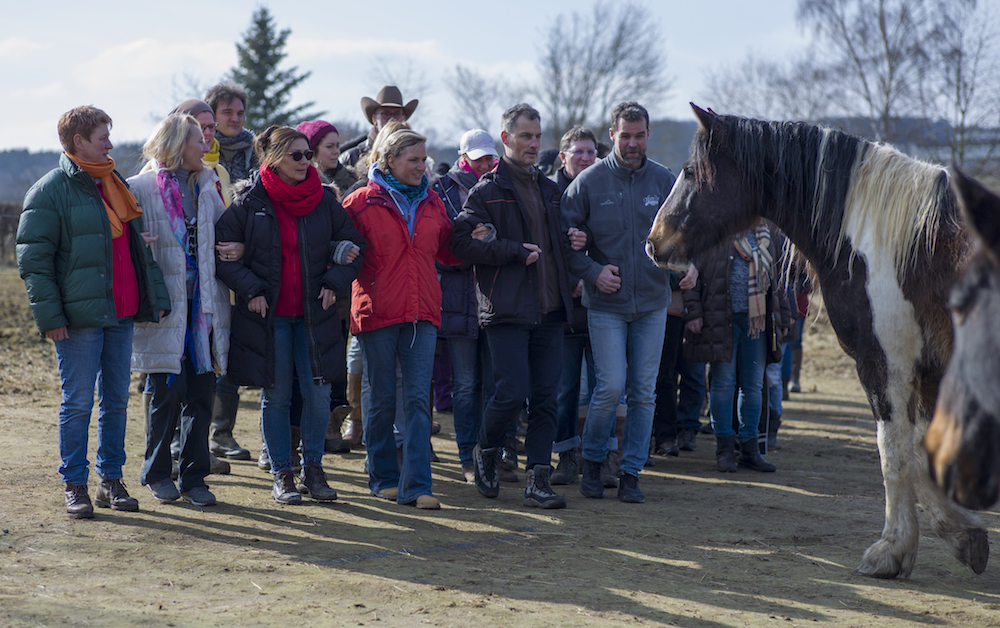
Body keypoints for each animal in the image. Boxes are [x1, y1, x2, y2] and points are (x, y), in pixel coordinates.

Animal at [644, 103, 988, 580]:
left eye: (691, 171)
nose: (653, 242)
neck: (883, 242)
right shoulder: (927, 372)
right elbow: (923, 456)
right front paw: (964, 536)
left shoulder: (887, 363)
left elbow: (896, 452)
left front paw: (891, 550)